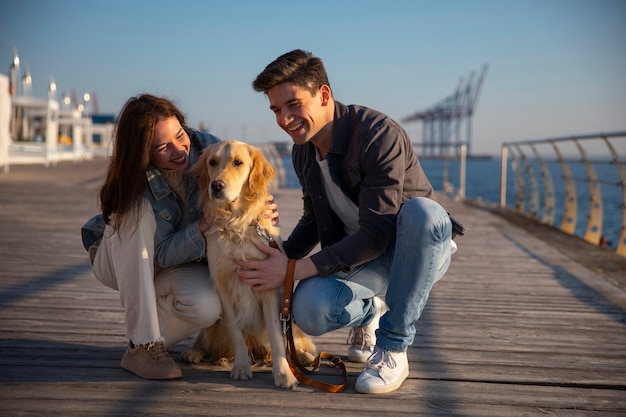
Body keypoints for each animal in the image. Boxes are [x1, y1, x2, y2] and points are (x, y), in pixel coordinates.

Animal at [183, 139, 314, 386]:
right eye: (212, 162)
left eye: (238, 162)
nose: (216, 185)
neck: (236, 224)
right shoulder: (223, 287)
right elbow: (235, 331)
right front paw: (242, 366)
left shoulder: (269, 287)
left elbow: (276, 336)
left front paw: (284, 373)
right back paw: (195, 352)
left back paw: (304, 356)